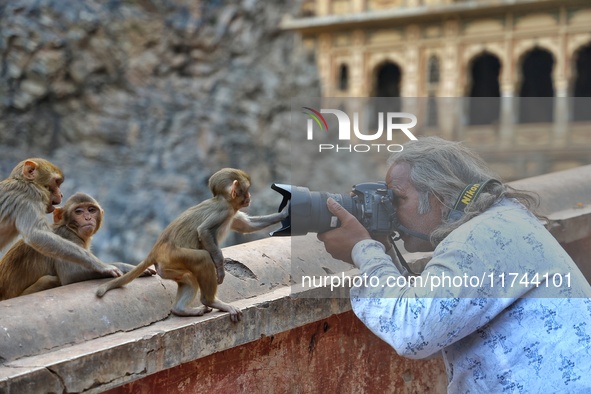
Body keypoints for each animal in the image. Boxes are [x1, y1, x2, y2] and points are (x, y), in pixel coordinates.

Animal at [0, 192, 155, 300]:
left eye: (91, 210)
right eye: (78, 211)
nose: (87, 218)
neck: (70, 228)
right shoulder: (67, 236)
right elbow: (70, 275)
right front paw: (120, 268)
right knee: (50, 279)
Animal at [97, 168, 290, 322]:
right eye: (247, 190)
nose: (250, 197)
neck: (223, 200)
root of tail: (156, 250)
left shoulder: (231, 214)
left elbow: (248, 226)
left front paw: (284, 213)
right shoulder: (224, 211)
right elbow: (203, 231)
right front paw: (220, 267)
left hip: (168, 268)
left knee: (187, 278)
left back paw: (181, 310)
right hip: (175, 255)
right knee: (203, 259)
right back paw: (211, 301)